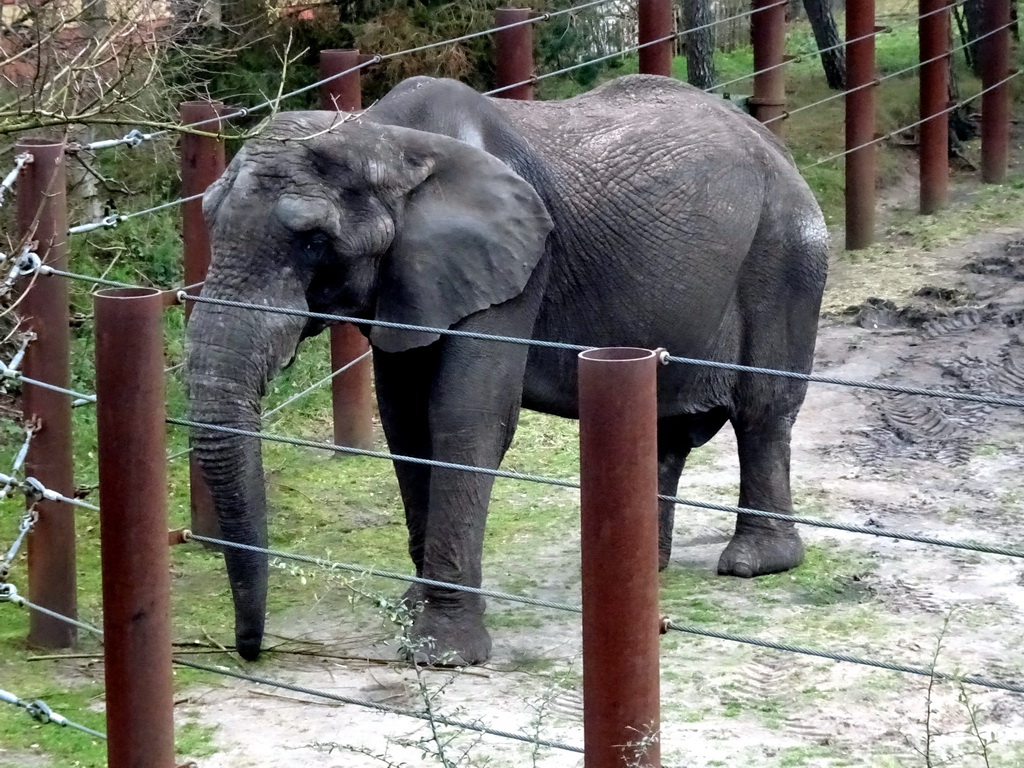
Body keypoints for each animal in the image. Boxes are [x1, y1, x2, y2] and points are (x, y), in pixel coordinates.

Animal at [188, 76, 831, 667]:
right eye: (209, 221)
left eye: (314, 241)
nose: (250, 651)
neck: (386, 138)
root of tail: (772, 141)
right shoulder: (411, 278)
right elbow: (405, 422)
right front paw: (411, 610)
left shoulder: (515, 265)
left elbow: (466, 418)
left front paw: (443, 653)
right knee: (664, 424)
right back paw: (643, 571)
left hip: (785, 250)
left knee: (763, 411)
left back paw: (754, 563)